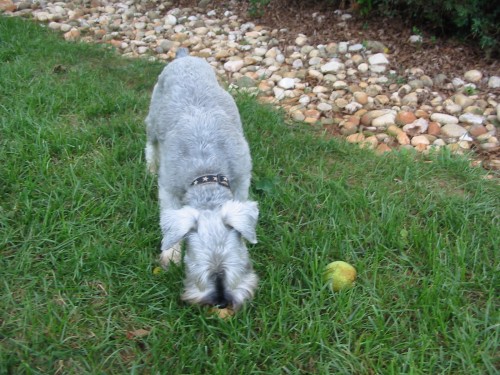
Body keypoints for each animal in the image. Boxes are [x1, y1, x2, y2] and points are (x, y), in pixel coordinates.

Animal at [145, 47, 260, 312]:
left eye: (237, 259)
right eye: (193, 262)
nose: (221, 301)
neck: (207, 172)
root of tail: (184, 57)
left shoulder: (242, 180)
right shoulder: (168, 189)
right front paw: (170, 254)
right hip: (153, 121)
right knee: (150, 144)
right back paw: (149, 167)